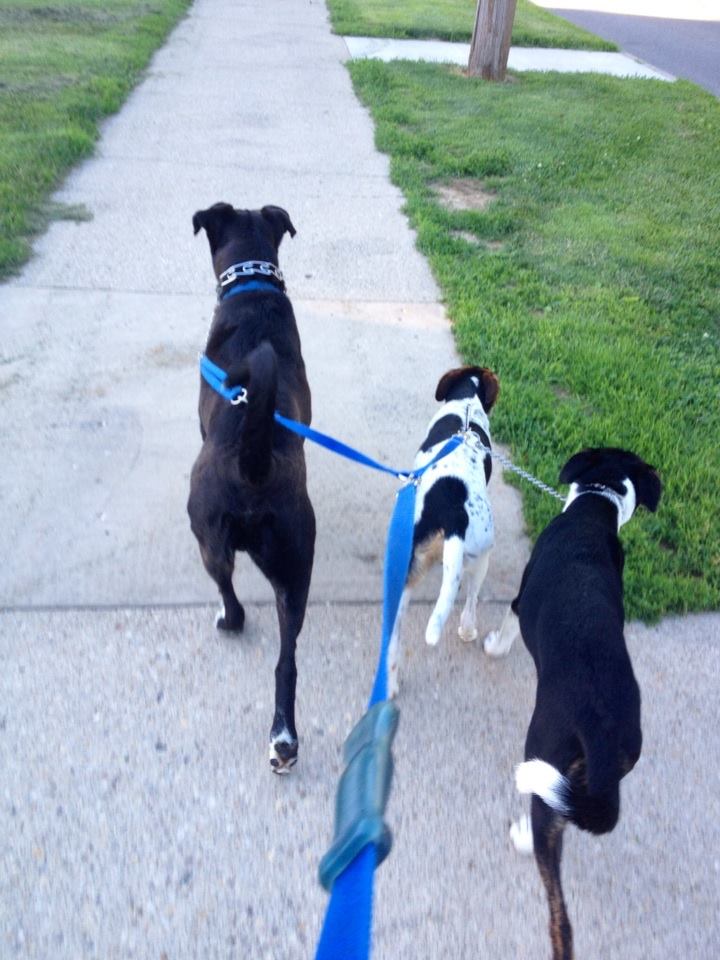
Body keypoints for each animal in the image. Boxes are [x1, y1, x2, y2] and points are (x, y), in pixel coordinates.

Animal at [387, 365, 499, 697]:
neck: (466, 404)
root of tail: (453, 515)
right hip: (483, 554)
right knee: (471, 600)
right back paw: (467, 630)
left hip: (407, 574)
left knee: (393, 642)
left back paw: (391, 684)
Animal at [484, 447, 662, 960]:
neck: (596, 508)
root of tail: (605, 731)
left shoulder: (520, 599)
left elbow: (507, 623)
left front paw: (493, 646)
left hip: (544, 754)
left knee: (557, 901)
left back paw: (524, 837)